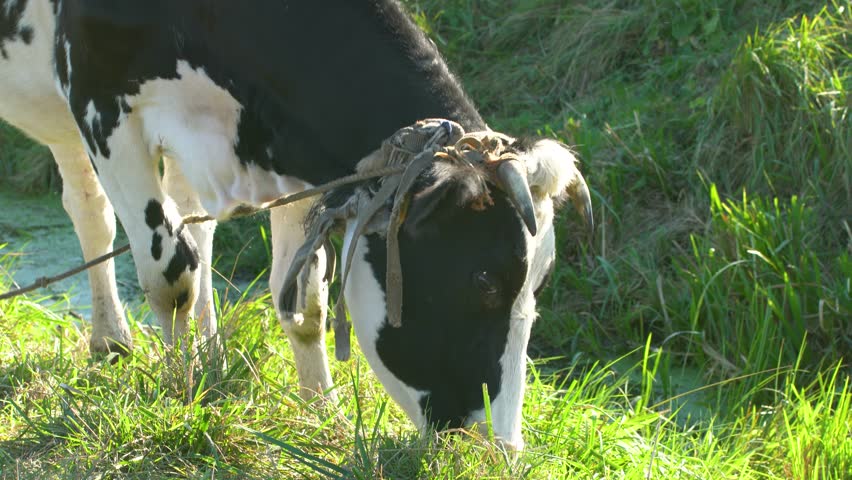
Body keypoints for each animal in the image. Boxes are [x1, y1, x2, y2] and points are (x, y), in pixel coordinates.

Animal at [0, 0, 591, 450]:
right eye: (484, 280)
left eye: (537, 289)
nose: (500, 449)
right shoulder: (99, 101)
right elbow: (170, 275)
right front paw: (180, 393)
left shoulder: (288, 155)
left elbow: (303, 303)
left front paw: (320, 416)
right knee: (97, 212)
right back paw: (120, 341)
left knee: (177, 224)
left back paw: (199, 356)